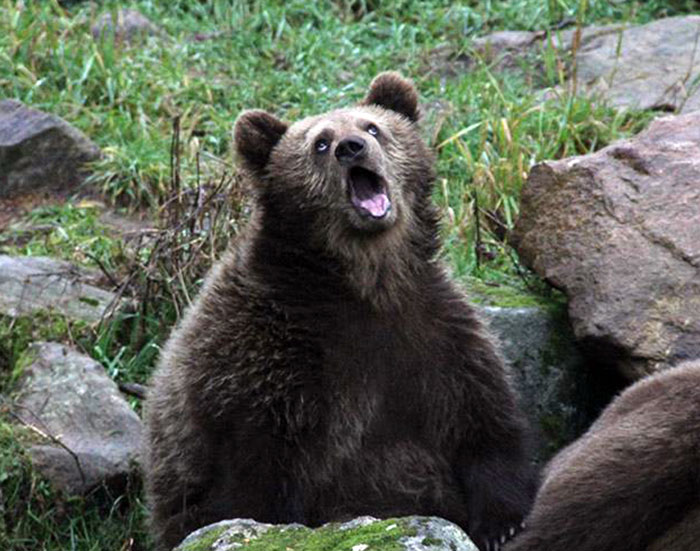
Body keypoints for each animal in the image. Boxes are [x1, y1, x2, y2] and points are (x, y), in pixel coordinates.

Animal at [144, 72, 536, 551]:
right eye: (320, 142)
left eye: (372, 127)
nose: (351, 147)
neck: (363, 284)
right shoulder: (268, 364)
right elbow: (257, 482)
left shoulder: (433, 334)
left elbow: (482, 421)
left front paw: (502, 523)